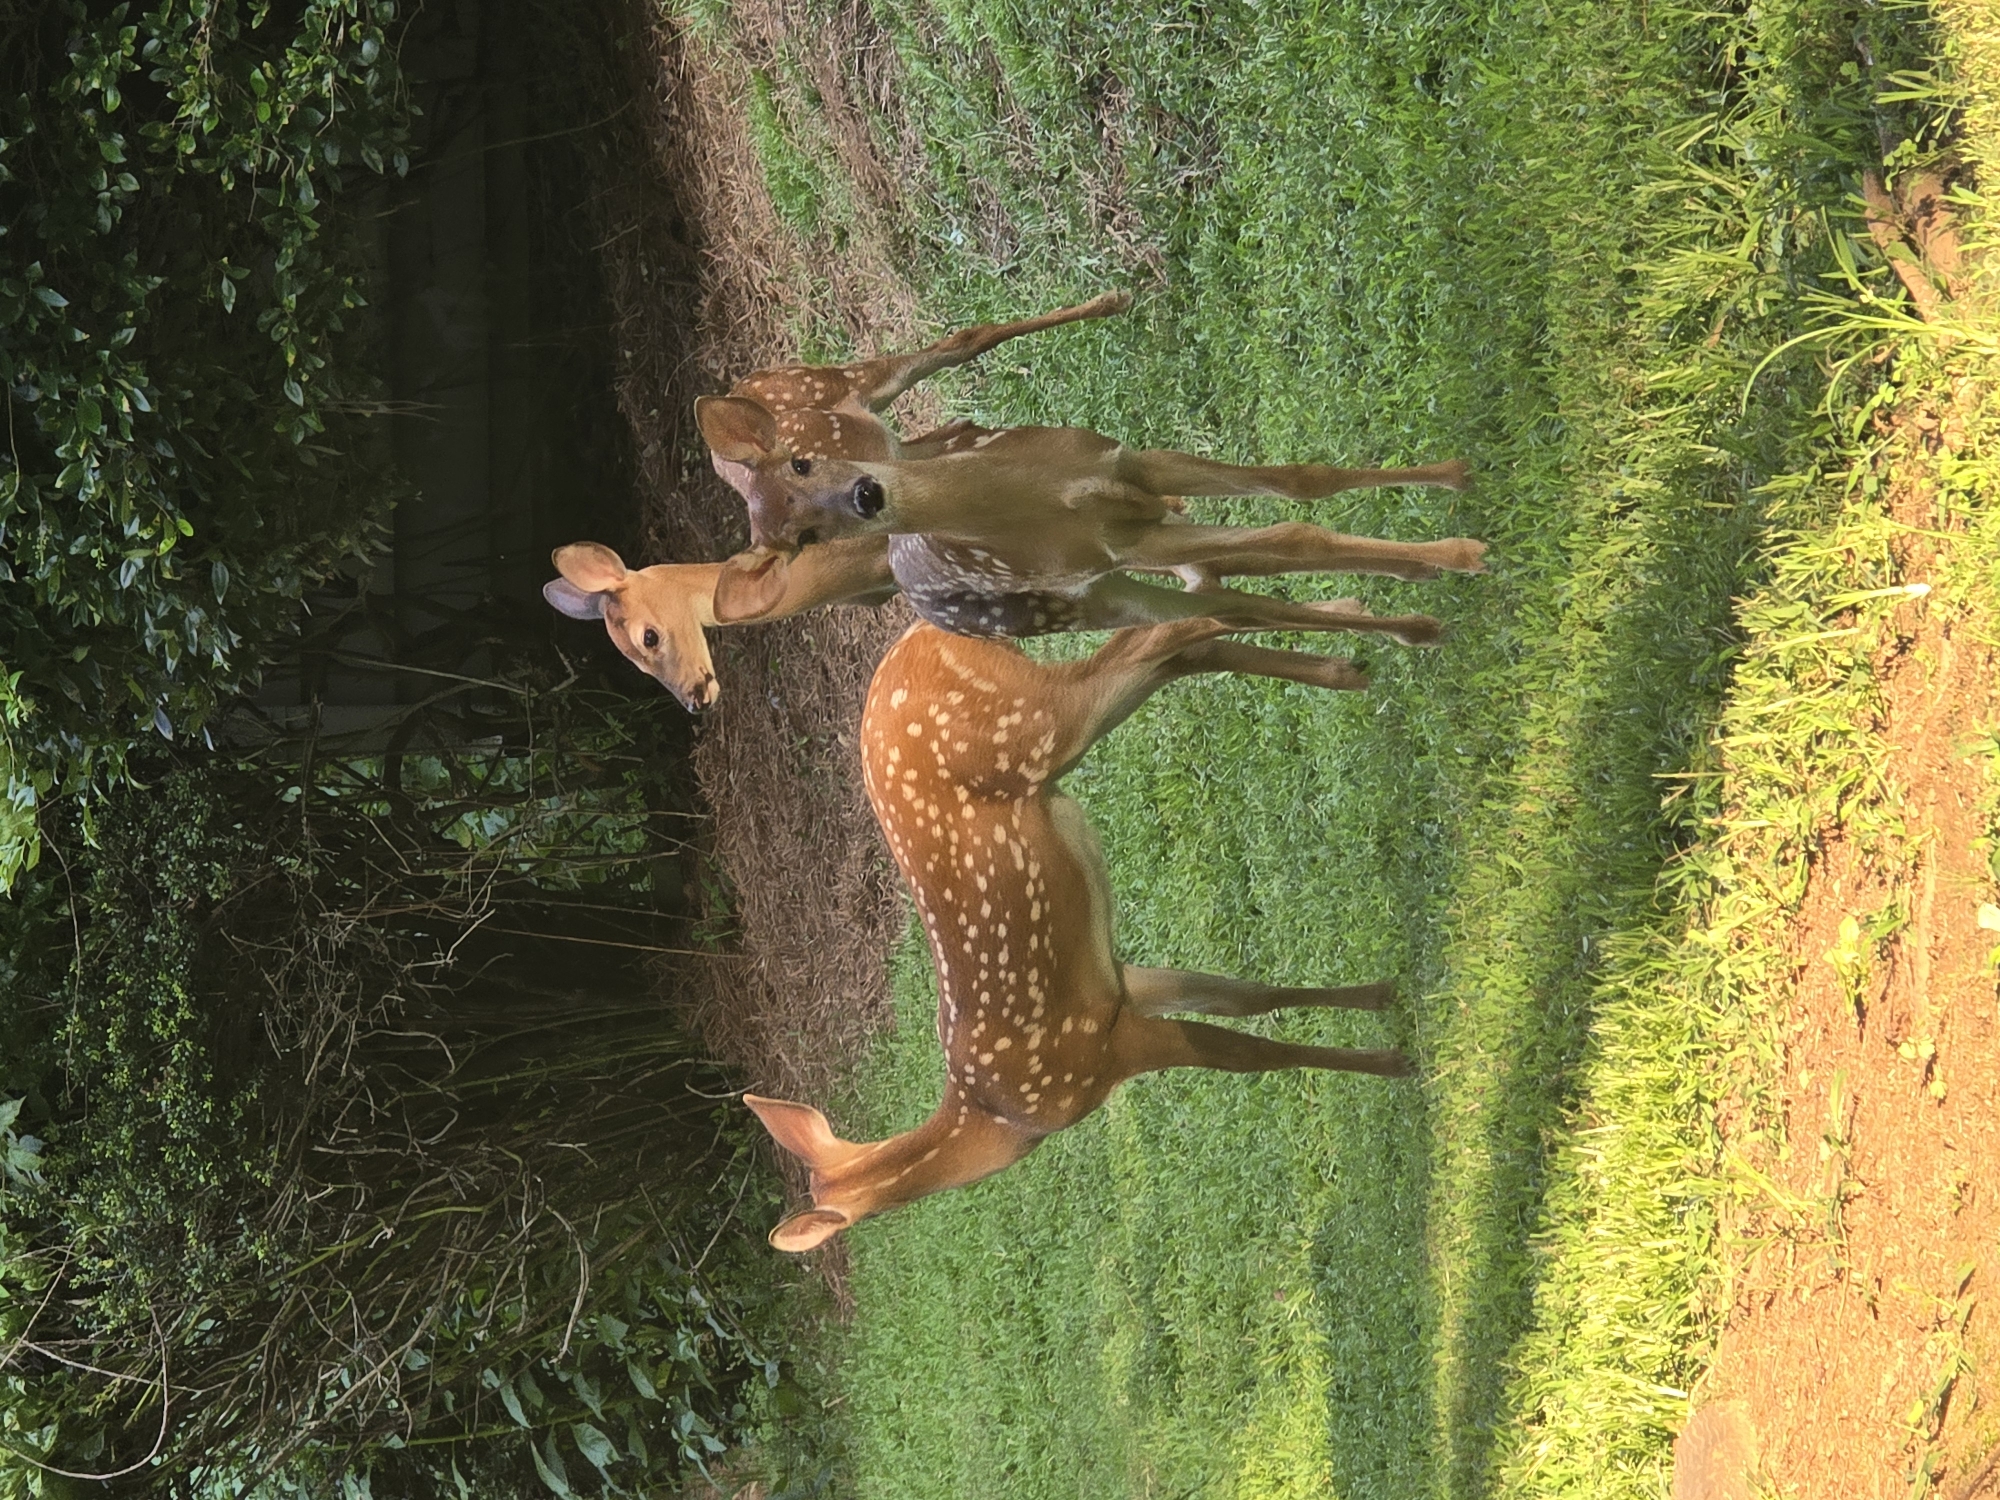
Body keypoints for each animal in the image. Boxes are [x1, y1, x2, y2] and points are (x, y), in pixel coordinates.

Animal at [544, 293, 1135, 711]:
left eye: (648, 637)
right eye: (636, 665)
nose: (694, 698)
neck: (833, 577)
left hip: (847, 379)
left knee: (961, 342)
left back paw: (1114, 300)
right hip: (890, 441)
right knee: (950, 427)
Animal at [742, 618, 1410, 1252]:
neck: (1001, 1121)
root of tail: (915, 632)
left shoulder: (1098, 1056)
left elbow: (1252, 1056)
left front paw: (1391, 1062)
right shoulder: (1119, 988)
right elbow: (1243, 997)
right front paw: (1381, 996)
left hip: (1035, 722)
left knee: (1161, 635)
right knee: (1175, 653)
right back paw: (1348, 665)